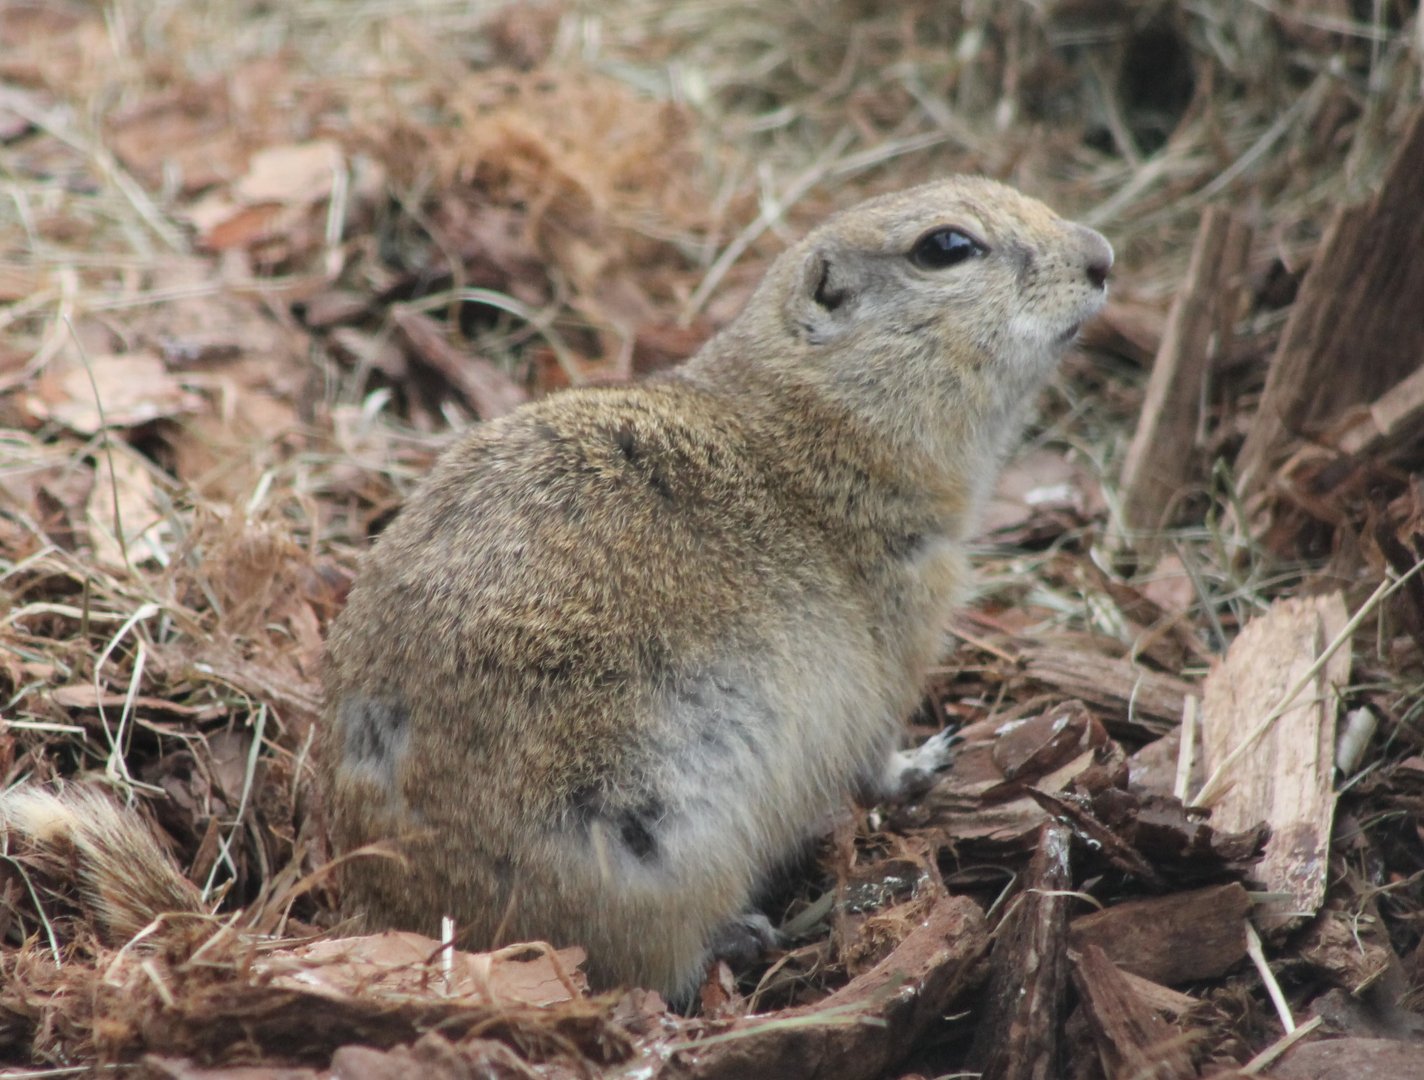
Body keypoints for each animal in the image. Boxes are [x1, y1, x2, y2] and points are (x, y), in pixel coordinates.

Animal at [0, 177, 1110, 1003]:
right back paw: (773, 925)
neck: (816, 421)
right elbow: (875, 762)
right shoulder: (893, 645)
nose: (1101, 255)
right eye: (945, 247)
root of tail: (394, 915)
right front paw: (932, 761)